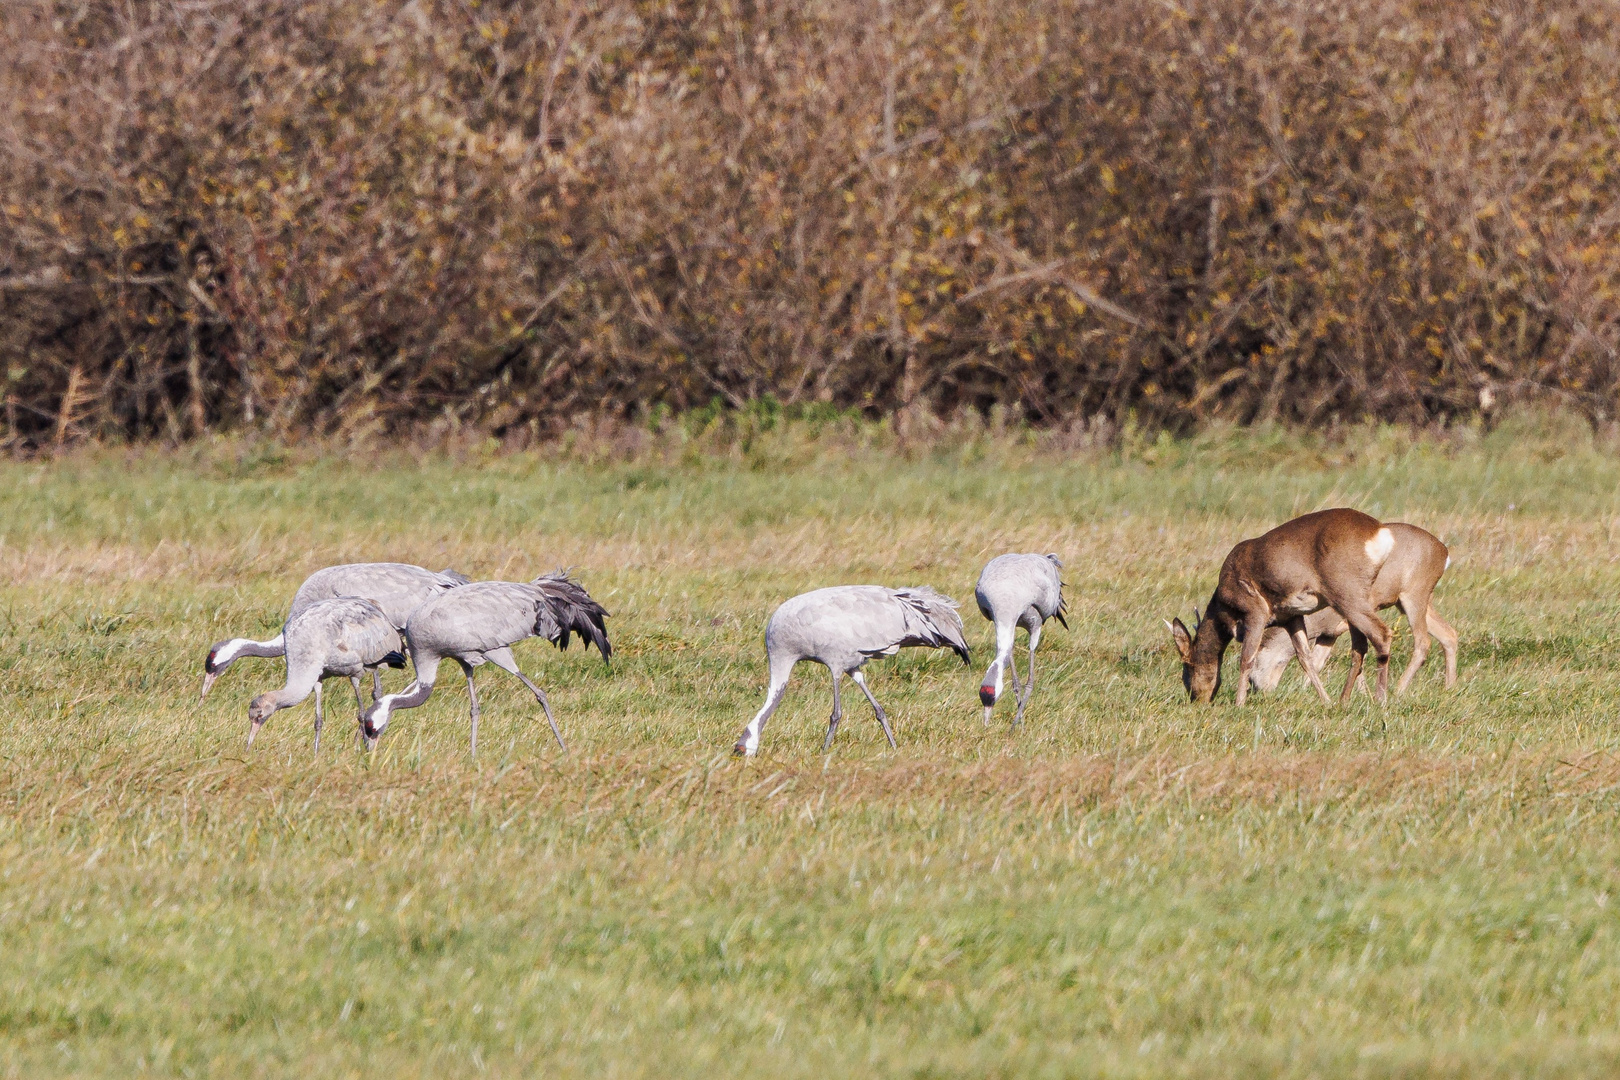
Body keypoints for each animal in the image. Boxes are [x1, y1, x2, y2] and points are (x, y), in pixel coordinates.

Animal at [1166, 508, 1406, 705]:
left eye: (1187, 665)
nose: (1197, 699)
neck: (1223, 608)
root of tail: (1380, 532)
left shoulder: (1255, 610)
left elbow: (1246, 658)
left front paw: (1239, 704)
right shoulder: (1291, 617)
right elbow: (1305, 658)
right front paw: (1325, 700)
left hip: (1347, 593)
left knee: (1382, 634)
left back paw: (1381, 699)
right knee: (1360, 647)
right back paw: (1344, 700)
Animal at [1244, 524, 1464, 702]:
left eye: (1253, 677)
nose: (1261, 691)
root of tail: (1444, 552)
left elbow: (1358, 655)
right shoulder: (1329, 634)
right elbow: (1318, 660)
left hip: (1414, 596)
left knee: (1423, 642)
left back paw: (1399, 690)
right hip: (1413, 602)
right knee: (1449, 634)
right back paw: (1450, 688)